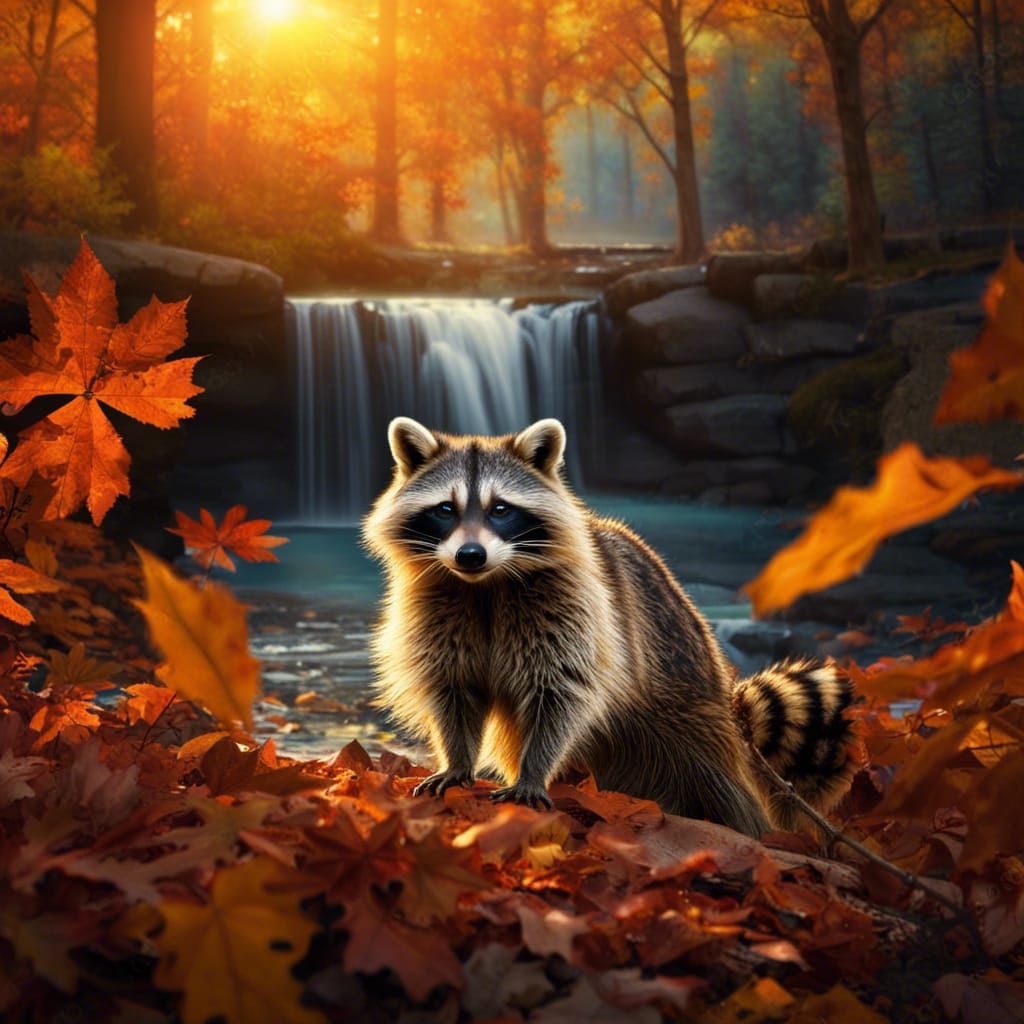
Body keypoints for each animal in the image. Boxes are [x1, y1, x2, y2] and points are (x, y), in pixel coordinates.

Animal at [362, 417, 854, 837]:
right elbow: (453, 687)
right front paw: (458, 760)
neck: (485, 585)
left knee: (717, 781)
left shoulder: (578, 609)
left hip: (689, 700)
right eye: (445, 509)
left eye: (500, 509)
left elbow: (561, 691)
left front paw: (534, 769)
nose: (469, 555)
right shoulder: (435, 609)